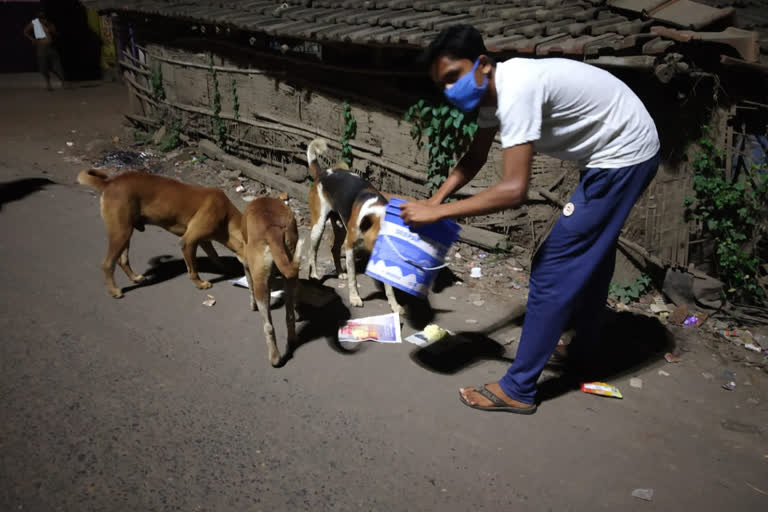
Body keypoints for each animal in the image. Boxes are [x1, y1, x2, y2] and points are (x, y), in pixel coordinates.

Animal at [76, 169, 244, 296]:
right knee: (107, 264)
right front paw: (200, 283)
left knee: (122, 260)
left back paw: (135, 278)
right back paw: (114, 290)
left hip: (125, 233)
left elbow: (216, 257)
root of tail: (109, 183)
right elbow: (193, 269)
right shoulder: (188, 242)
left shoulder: (204, 241)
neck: (226, 216)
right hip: (120, 233)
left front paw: (227, 269)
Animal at [240, 197, 304, 368]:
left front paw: (252, 305)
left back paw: (275, 358)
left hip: (260, 283)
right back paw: (292, 340)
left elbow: (249, 288)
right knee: (289, 316)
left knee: (268, 327)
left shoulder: (247, 266)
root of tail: (272, 229)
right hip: (291, 277)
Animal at [304, 138, 404, 312]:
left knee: (334, 249)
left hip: (339, 227)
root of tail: (323, 173)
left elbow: (389, 288)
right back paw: (315, 275)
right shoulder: (350, 246)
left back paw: (339, 272)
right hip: (319, 226)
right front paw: (354, 298)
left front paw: (394, 305)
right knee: (313, 252)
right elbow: (353, 278)